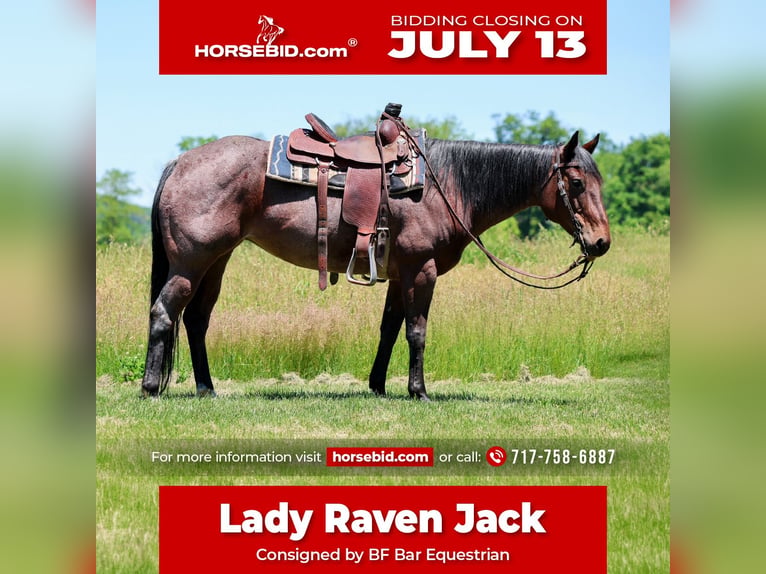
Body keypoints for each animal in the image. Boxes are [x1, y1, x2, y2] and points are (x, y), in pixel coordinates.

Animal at [141, 127, 610, 401]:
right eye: (576, 182)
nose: (601, 242)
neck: (445, 185)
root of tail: (180, 162)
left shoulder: (400, 274)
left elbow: (389, 329)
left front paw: (379, 386)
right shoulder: (422, 270)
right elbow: (417, 332)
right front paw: (418, 392)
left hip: (216, 261)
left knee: (195, 319)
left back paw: (206, 389)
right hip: (191, 262)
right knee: (164, 313)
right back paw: (150, 388)